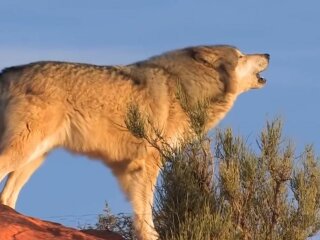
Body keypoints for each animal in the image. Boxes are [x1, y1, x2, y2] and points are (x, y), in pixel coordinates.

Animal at [0, 45, 268, 238]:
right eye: (241, 56)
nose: (267, 54)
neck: (187, 86)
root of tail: (8, 72)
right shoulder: (148, 162)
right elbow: (145, 209)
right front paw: (150, 235)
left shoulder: (131, 167)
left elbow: (140, 208)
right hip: (24, 151)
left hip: (34, 158)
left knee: (7, 197)